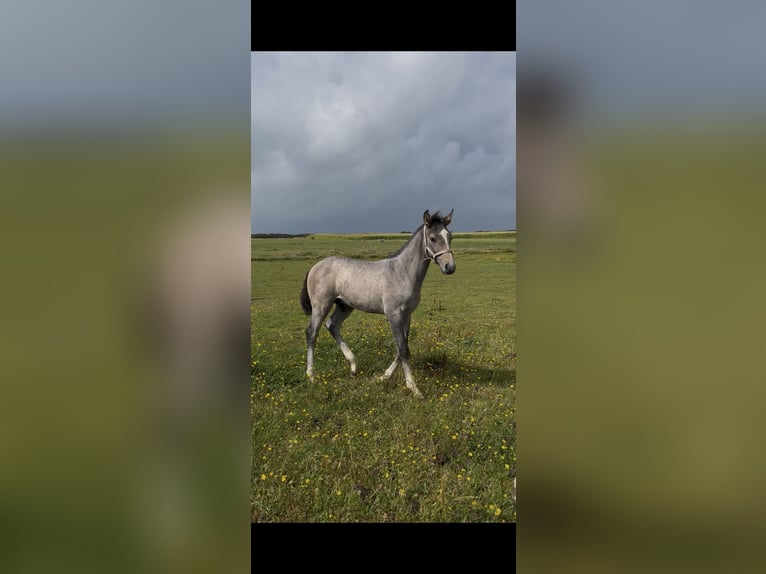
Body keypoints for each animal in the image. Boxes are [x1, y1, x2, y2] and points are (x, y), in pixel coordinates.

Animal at [300, 209, 456, 398]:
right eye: (432, 238)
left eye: (450, 236)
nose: (449, 267)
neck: (402, 272)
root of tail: (314, 267)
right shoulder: (393, 314)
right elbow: (403, 349)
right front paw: (414, 388)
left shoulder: (407, 315)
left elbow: (402, 348)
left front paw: (383, 377)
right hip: (321, 306)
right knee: (311, 333)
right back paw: (311, 375)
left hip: (344, 306)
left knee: (332, 325)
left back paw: (353, 367)